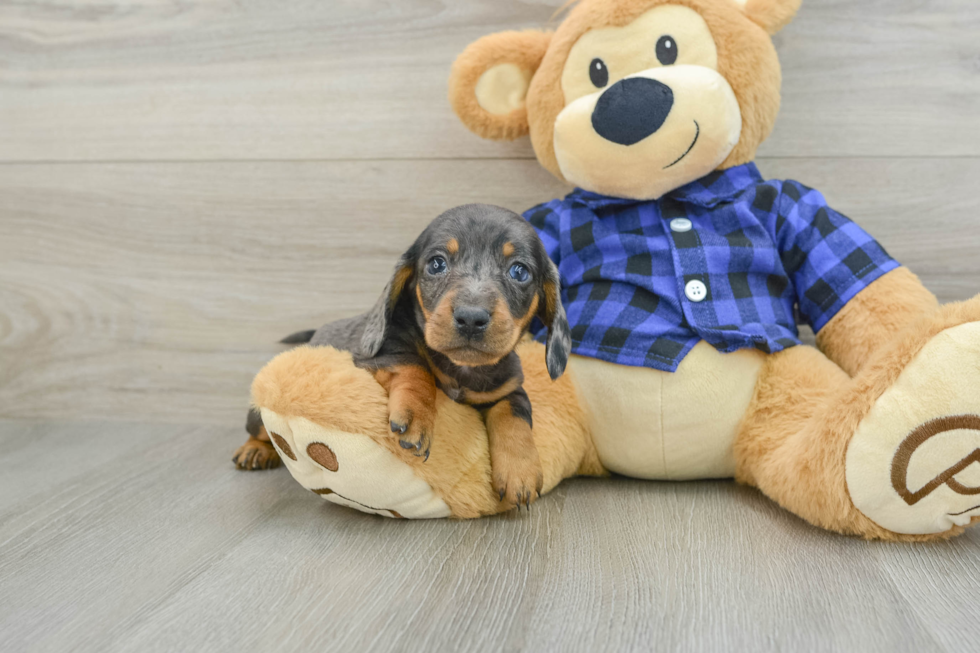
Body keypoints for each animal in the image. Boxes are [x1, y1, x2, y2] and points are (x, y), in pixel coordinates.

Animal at [235, 204, 576, 510]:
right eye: (436, 264)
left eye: (519, 271)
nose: (471, 318)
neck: (461, 368)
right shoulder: (378, 355)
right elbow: (414, 365)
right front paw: (416, 416)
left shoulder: (509, 387)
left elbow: (514, 416)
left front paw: (520, 470)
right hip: (259, 418)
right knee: (259, 430)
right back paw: (254, 450)